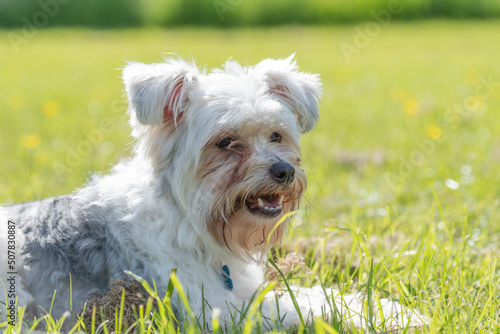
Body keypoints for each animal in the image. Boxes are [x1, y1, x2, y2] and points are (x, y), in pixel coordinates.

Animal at [0, 56, 424, 330]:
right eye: (225, 142)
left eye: (276, 135)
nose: (284, 171)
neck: (189, 221)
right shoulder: (213, 311)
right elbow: (302, 307)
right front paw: (388, 317)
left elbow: (313, 294)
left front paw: (391, 309)